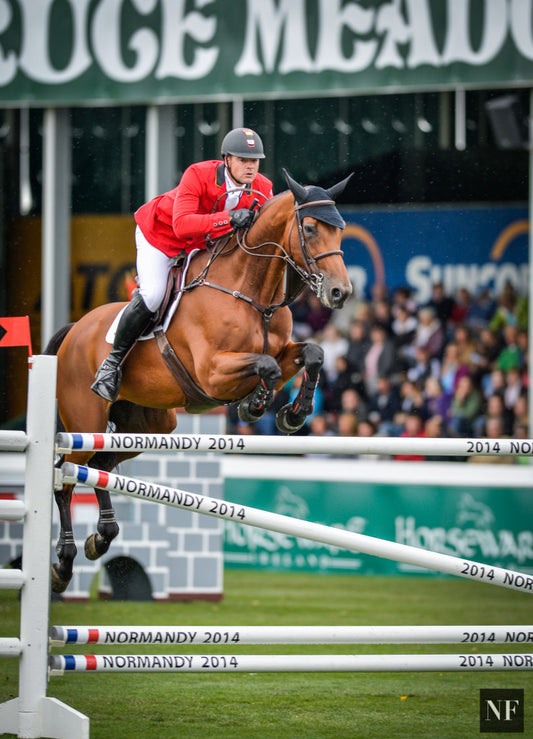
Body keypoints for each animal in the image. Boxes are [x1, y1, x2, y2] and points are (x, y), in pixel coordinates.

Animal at [46, 169, 354, 596]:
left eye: (339, 231)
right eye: (309, 228)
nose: (341, 292)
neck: (251, 290)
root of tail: (74, 329)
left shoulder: (281, 351)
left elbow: (313, 354)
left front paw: (293, 414)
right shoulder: (213, 372)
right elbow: (267, 368)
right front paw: (255, 405)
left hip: (150, 426)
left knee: (102, 463)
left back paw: (102, 537)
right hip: (85, 421)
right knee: (67, 476)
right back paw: (63, 564)